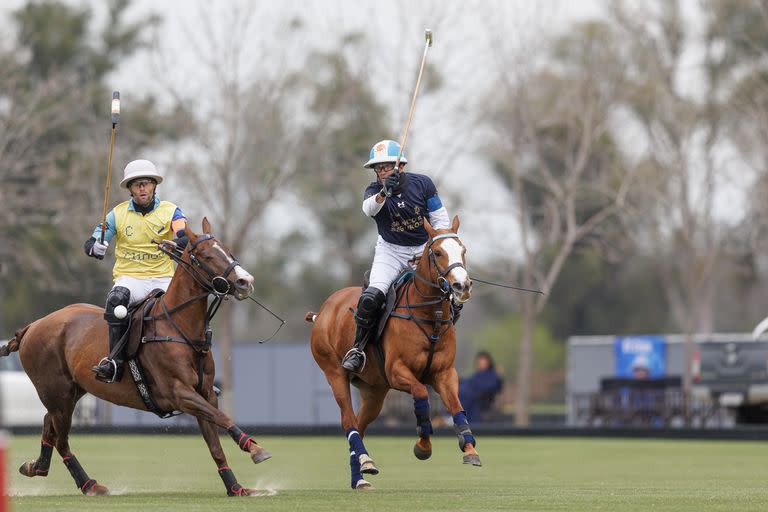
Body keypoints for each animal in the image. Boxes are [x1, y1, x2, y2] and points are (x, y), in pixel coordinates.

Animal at [0, 217, 272, 496]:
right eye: (206, 255)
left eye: (228, 251)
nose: (245, 281)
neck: (179, 327)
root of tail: (31, 326)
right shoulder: (179, 392)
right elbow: (222, 417)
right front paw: (255, 448)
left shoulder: (204, 392)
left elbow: (215, 441)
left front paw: (236, 487)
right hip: (56, 391)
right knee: (61, 439)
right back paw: (89, 484)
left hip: (72, 390)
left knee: (49, 425)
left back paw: (37, 467)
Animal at [308, 215, 476, 488]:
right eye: (437, 252)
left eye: (463, 250)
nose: (462, 285)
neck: (430, 317)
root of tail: (323, 311)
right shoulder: (397, 372)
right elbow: (421, 396)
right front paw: (423, 446)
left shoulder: (444, 373)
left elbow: (457, 408)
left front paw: (469, 447)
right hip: (334, 373)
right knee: (348, 421)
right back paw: (365, 464)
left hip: (374, 390)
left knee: (360, 424)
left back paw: (359, 475)